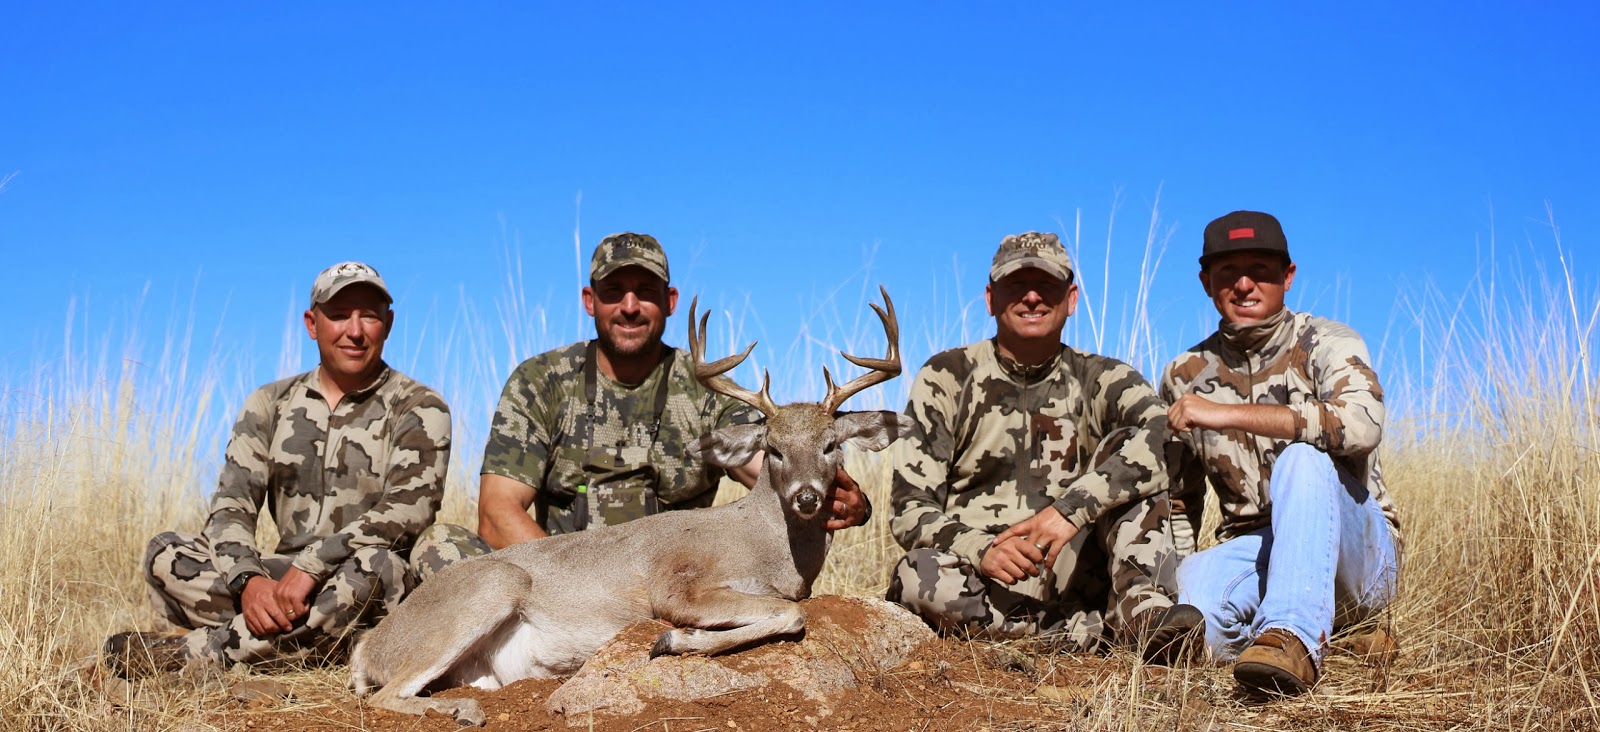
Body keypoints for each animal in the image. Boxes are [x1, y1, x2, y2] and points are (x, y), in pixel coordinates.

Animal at [348, 288, 909, 726]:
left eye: (831, 445)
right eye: (773, 448)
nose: (808, 497)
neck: (769, 546)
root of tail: (368, 646)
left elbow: (790, 611)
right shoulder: (676, 586)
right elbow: (790, 614)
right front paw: (673, 641)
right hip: (493, 586)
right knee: (384, 694)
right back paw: (461, 711)